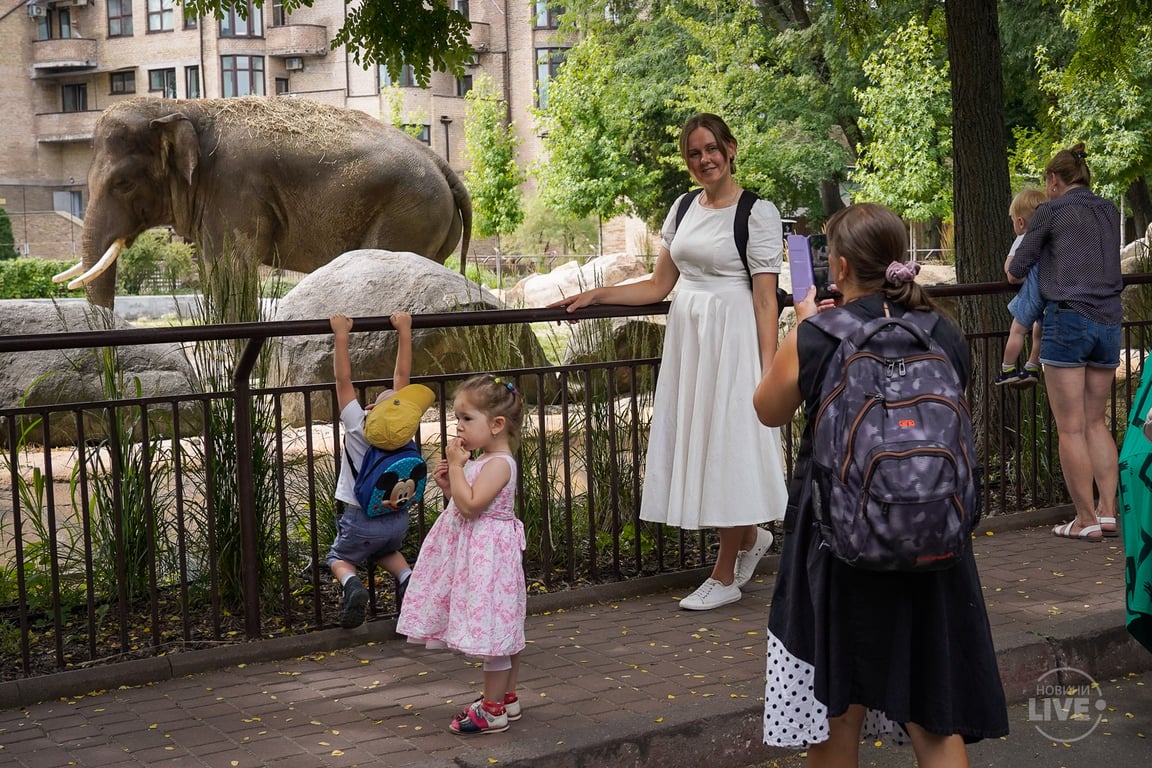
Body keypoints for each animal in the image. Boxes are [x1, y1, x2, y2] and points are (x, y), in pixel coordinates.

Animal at [56, 96, 470, 308]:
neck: (184, 106)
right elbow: (215, 275)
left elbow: (232, 271)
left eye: (123, 184)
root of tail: (441, 163)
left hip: (408, 213)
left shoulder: (233, 189)